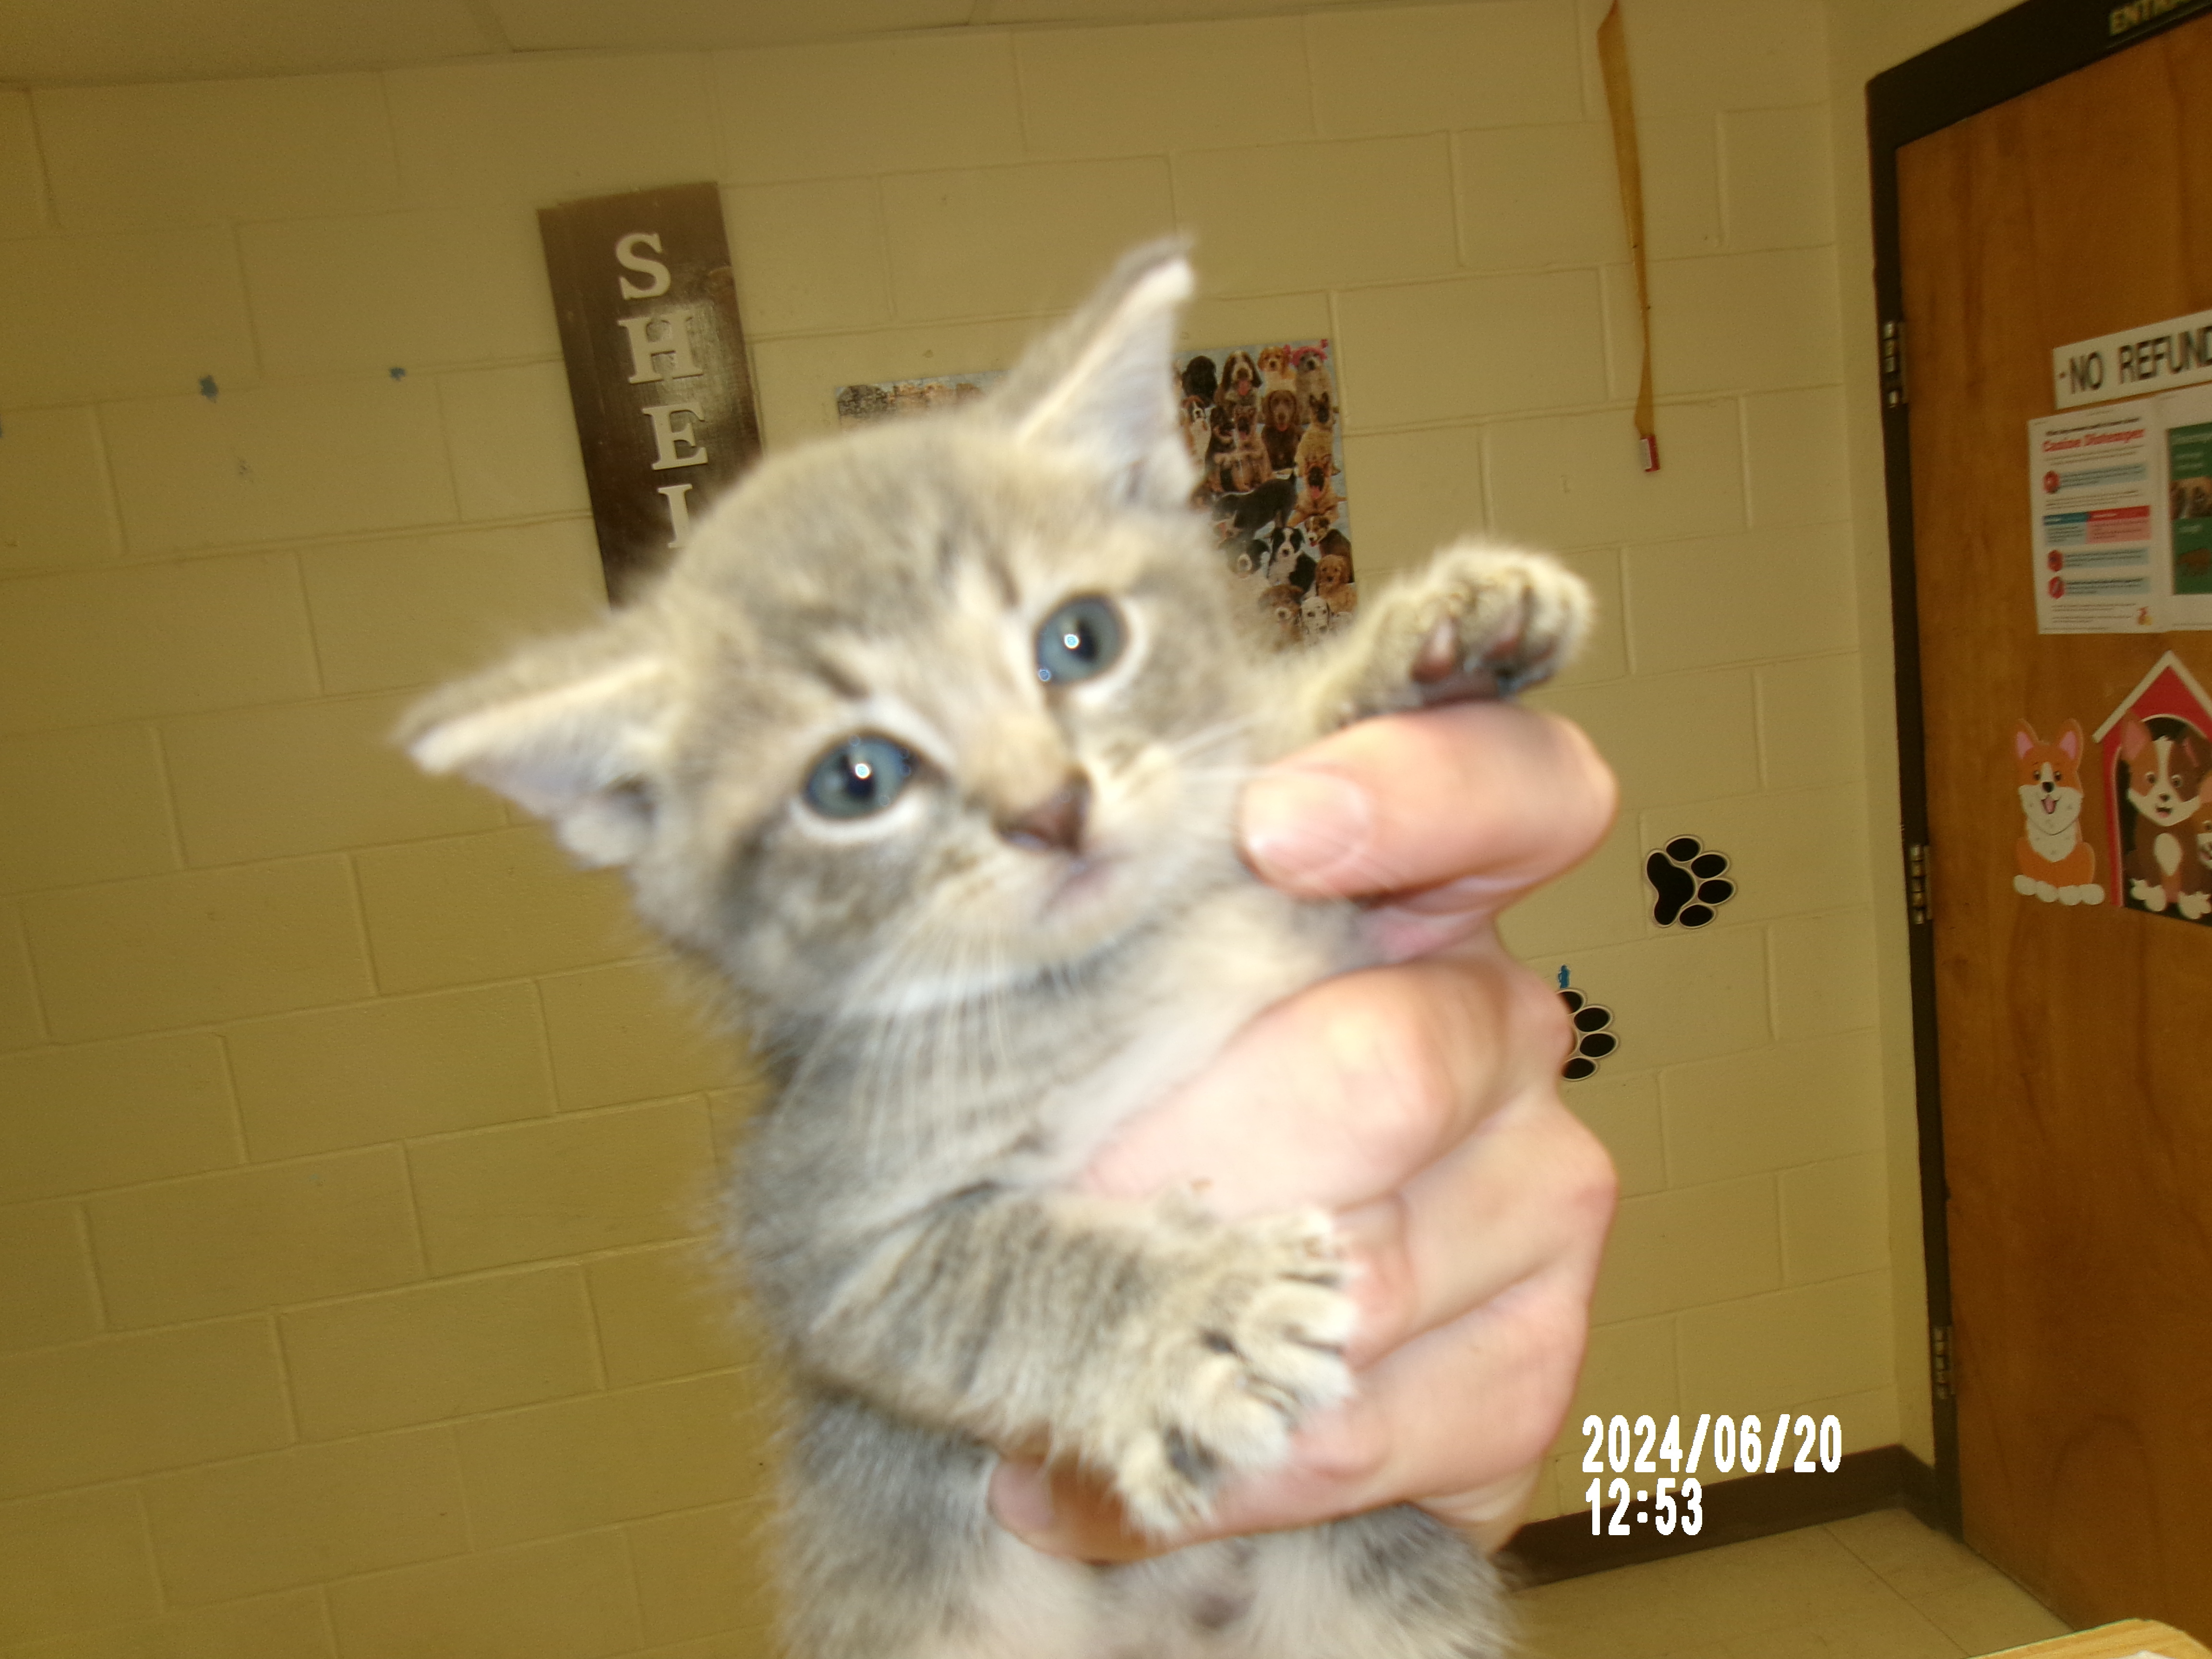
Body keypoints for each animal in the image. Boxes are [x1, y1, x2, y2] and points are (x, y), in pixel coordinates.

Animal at [402, 246, 1592, 1659]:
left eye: (1078, 640)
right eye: (856, 779)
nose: (1051, 807)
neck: (1112, 966)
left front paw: (1420, 649)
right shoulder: (808, 1229)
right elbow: (983, 1271)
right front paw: (1189, 1319)